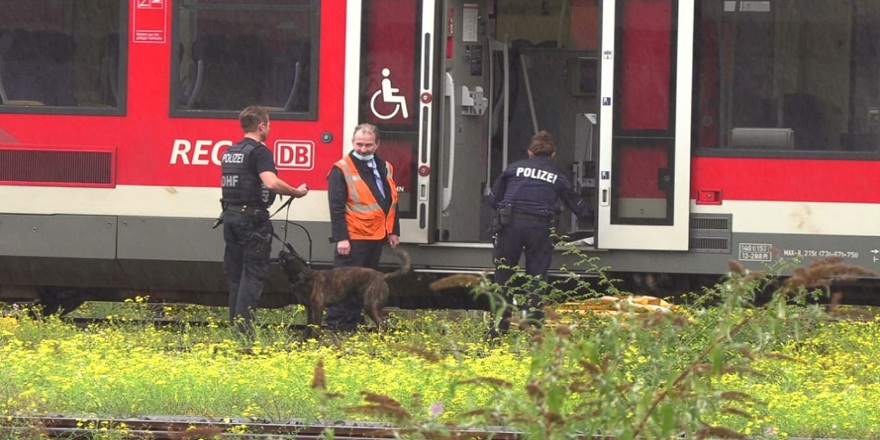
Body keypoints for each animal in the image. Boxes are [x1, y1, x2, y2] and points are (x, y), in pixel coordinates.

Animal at [276, 246, 410, 336]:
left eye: (289, 255)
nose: (280, 251)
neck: (304, 276)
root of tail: (383, 276)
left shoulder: (318, 308)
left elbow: (316, 328)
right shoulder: (310, 309)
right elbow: (308, 328)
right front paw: (304, 342)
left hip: (370, 305)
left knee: (382, 325)